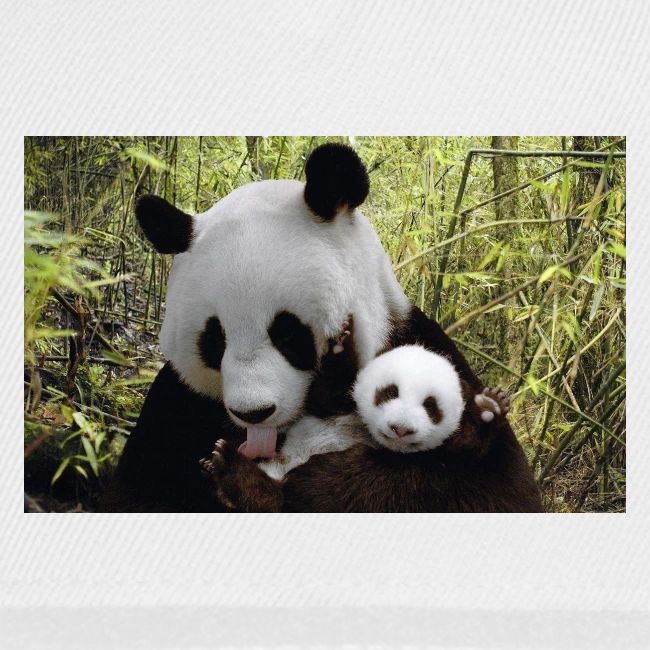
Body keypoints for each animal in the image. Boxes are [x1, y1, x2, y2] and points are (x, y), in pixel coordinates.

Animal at [101, 143, 542, 513]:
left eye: (287, 333)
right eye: (215, 339)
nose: (254, 413)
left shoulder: (422, 347)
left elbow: (489, 489)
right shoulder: (178, 406)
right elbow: (137, 493)